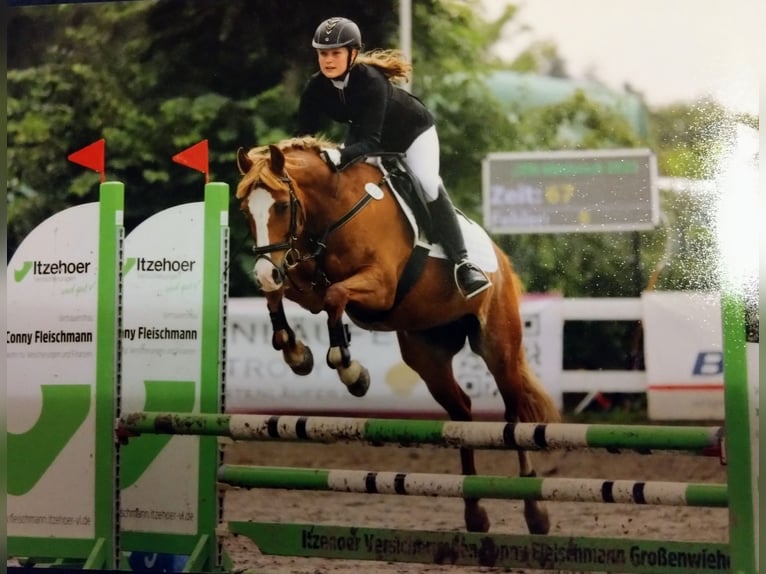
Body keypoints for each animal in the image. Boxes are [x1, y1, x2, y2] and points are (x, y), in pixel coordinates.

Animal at [235, 136, 560, 534]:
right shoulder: (302, 281)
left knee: (514, 418)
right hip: (428, 357)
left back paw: (535, 512)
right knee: (462, 413)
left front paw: (351, 372)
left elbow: (335, 297)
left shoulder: (380, 285)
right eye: (245, 209)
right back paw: (474, 511)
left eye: (281, 205)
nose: (265, 271)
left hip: (499, 347)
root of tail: (501, 262)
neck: (334, 209)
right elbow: (283, 296)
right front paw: (297, 354)